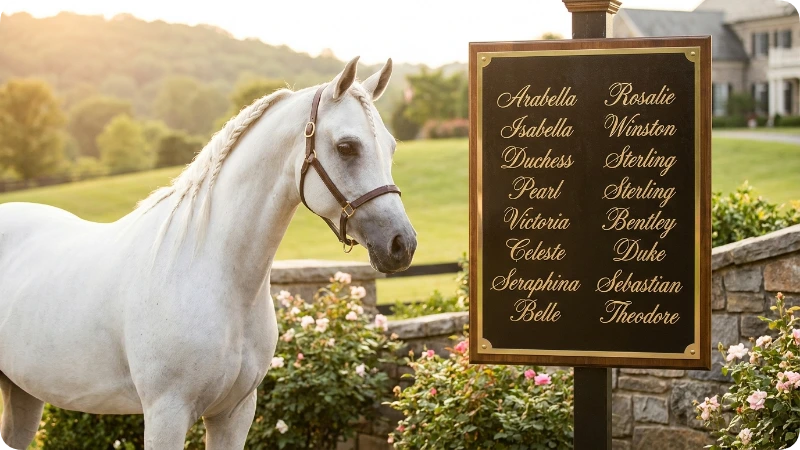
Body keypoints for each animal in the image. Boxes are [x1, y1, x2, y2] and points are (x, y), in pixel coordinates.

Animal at [0, 56, 416, 449]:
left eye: (392, 146)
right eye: (347, 147)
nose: (402, 244)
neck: (210, 271)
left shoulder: (234, 413)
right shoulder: (166, 414)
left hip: (22, 392)